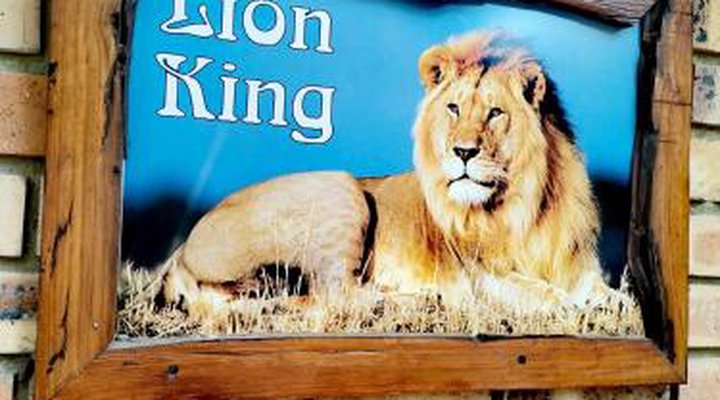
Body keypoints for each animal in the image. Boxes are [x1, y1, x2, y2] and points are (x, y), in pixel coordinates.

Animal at [157, 31, 614, 317]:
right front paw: (567, 305)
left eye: (495, 113)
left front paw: (607, 304)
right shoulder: (480, 275)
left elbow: (604, 292)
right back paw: (416, 300)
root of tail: (182, 252)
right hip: (340, 188)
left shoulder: (580, 266)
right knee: (334, 296)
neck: (525, 204)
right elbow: (537, 291)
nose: (463, 152)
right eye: (454, 109)